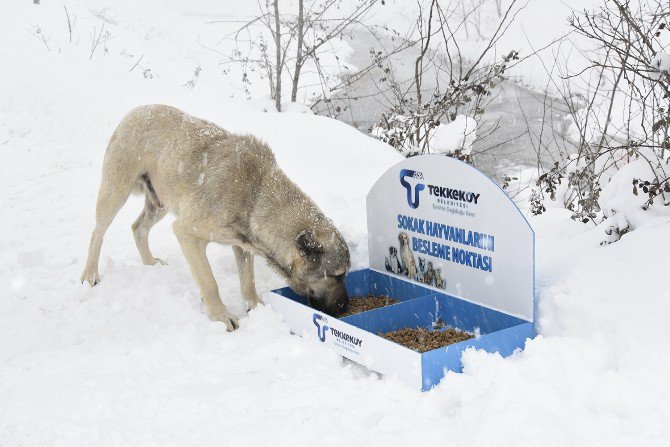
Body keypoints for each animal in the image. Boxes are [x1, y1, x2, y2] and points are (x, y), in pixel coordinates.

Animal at [80, 104, 352, 328]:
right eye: (337, 275)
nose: (345, 307)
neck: (256, 197)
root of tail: (136, 110)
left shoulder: (242, 245)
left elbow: (248, 281)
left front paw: (255, 307)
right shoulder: (187, 233)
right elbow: (210, 282)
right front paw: (220, 316)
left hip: (160, 203)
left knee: (138, 228)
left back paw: (150, 264)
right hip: (116, 190)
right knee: (97, 232)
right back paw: (90, 274)